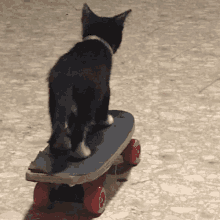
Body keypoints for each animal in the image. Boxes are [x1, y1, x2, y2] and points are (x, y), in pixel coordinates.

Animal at [47, 3, 131, 160]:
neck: (96, 39)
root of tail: (67, 74)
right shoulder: (104, 84)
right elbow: (105, 102)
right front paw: (106, 120)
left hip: (54, 97)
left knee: (57, 121)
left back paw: (62, 144)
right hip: (88, 97)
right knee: (80, 126)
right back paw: (81, 153)